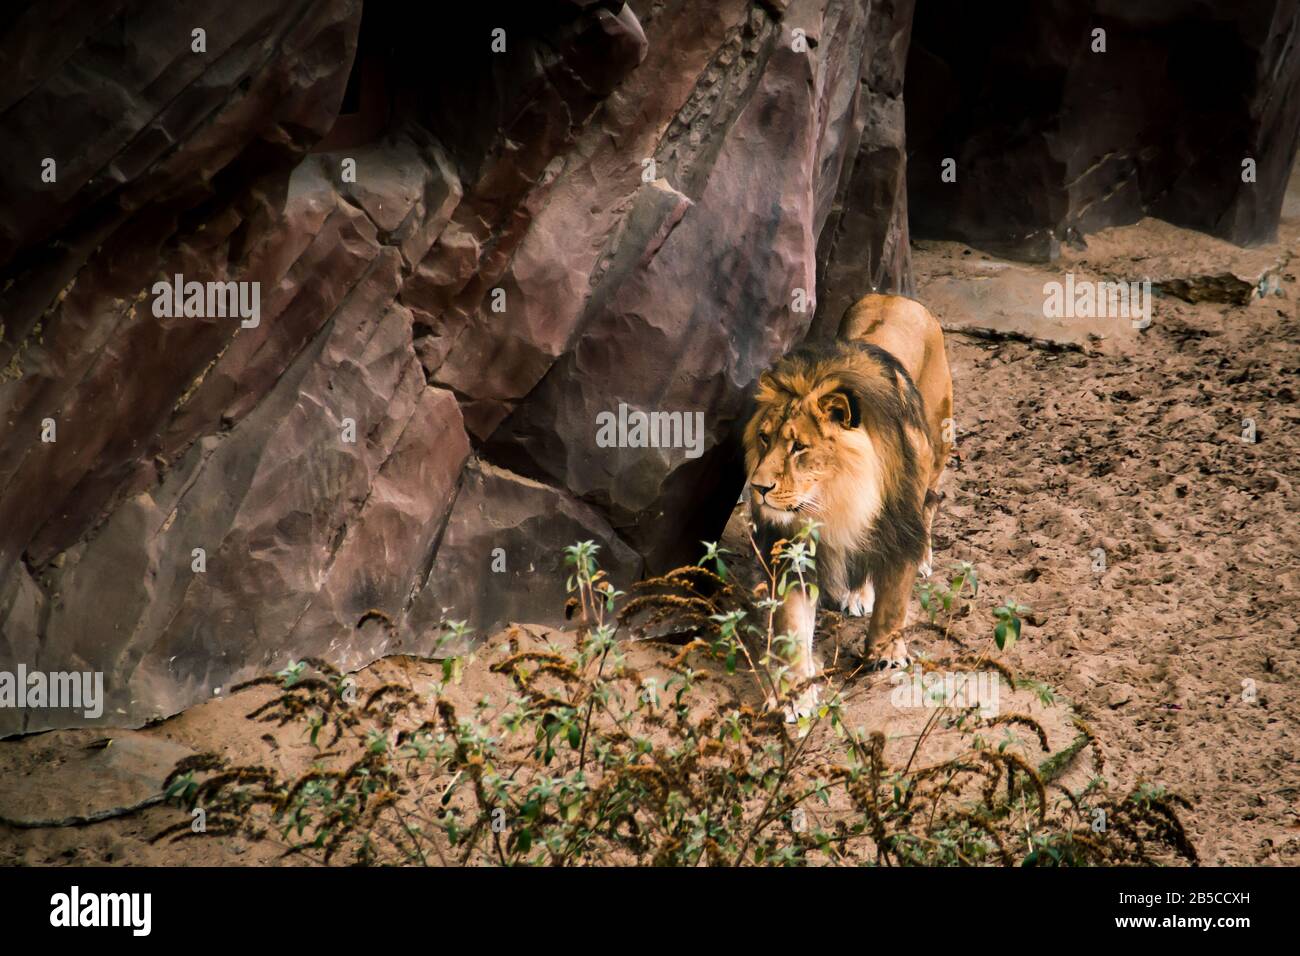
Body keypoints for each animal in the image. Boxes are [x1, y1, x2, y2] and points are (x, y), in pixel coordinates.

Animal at [743, 294, 953, 710]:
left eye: (799, 447)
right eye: (764, 438)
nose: (758, 487)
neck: (837, 497)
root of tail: (897, 296)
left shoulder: (900, 525)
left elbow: (894, 601)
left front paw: (887, 655)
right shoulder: (795, 549)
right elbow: (793, 625)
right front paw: (794, 694)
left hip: (939, 447)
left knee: (931, 504)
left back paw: (923, 558)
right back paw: (857, 593)